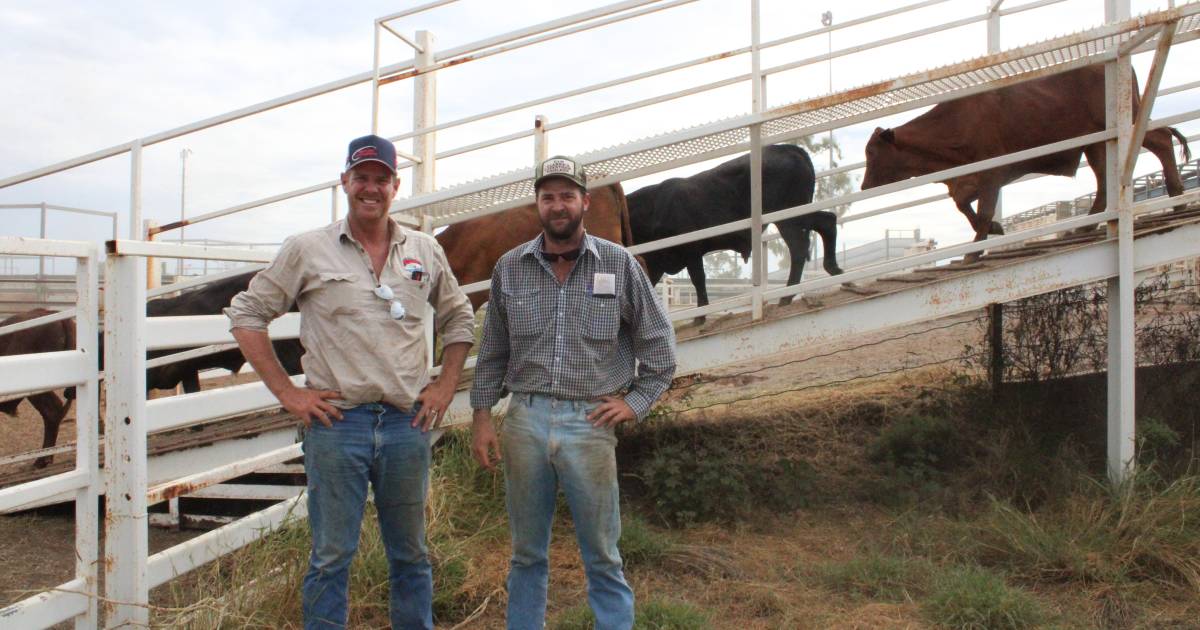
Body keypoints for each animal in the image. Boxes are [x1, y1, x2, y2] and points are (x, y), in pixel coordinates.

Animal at [628, 142, 844, 314]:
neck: (653, 208)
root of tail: (788, 148)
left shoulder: (691, 251)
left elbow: (698, 279)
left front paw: (700, 317)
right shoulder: (655, 263)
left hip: (790, 219)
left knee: (799, 249)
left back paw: (786, 297)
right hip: (800, 214)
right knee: (827, 221)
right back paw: (834, 269)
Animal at [864, 64, 1190, 248]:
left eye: (873, 153)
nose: (864, 186)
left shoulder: (992, 174)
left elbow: (983, 212)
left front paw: (976, 248)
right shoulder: (968, 181)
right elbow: (964, 207)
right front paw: (994, 229)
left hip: (1122, 124)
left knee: (1161, 140)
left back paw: (1175, 194)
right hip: (1096, 145)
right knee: (1106, 185)